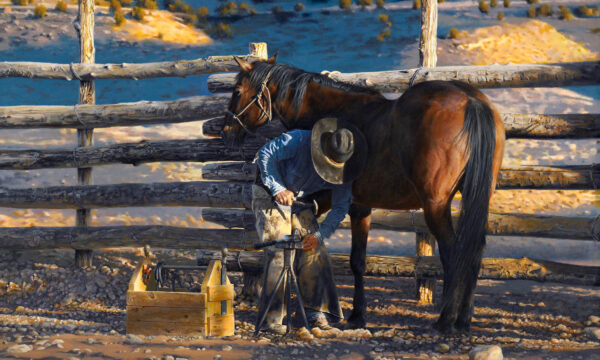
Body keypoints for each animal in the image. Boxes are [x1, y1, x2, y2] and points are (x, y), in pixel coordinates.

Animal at [219, 57, 502, 334]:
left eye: (237, 91)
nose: (226, 131)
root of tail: (471, 100)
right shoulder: (361, 207)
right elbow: (359, 261)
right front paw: (357, 315)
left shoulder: (338, 203)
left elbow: (349, 259)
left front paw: (352, 314)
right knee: (474, 252)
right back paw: (463, 320)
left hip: (436, 206)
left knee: (454, 253)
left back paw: (446, 320)